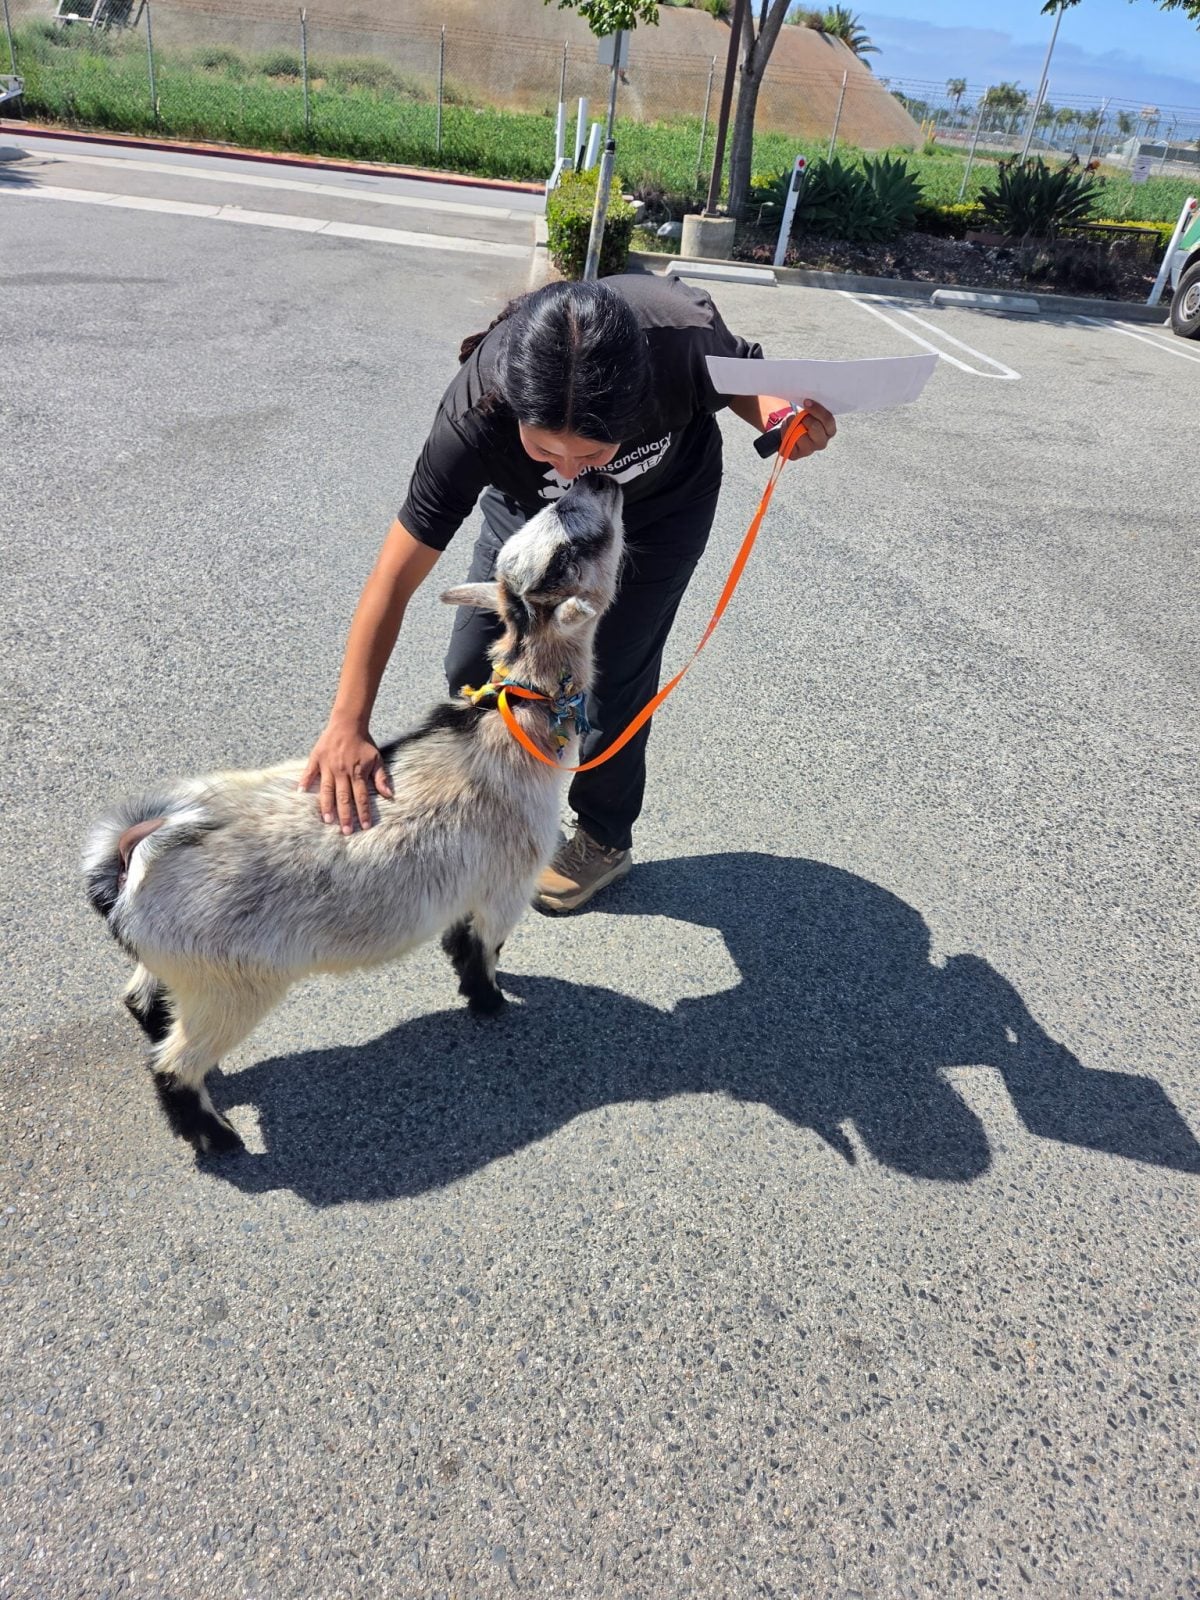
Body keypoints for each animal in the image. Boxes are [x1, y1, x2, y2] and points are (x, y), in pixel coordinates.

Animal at [82, 474, 624, 1156]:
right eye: (572, 550)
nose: (601, 479)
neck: (507, 726)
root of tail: (134, 854)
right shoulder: (508, 881)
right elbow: (485, 948)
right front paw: (489, 1002)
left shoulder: (468, 887)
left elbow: (459, 938)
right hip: (230, 984)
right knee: (174, 1064)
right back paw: (217, 1137)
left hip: (182, 968)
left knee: (142, 998)